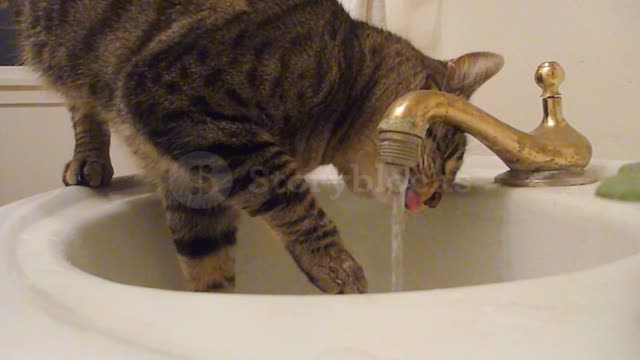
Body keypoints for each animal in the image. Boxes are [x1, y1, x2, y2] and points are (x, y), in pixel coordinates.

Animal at [6, 0, 504, 294]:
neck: (345, 67)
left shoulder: (191, 187)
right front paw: (337, 265)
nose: (436, 198)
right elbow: (291, 196)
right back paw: (88, 159)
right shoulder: (179, 95)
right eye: (446, 149)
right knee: (79, 100)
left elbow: (209, 265)